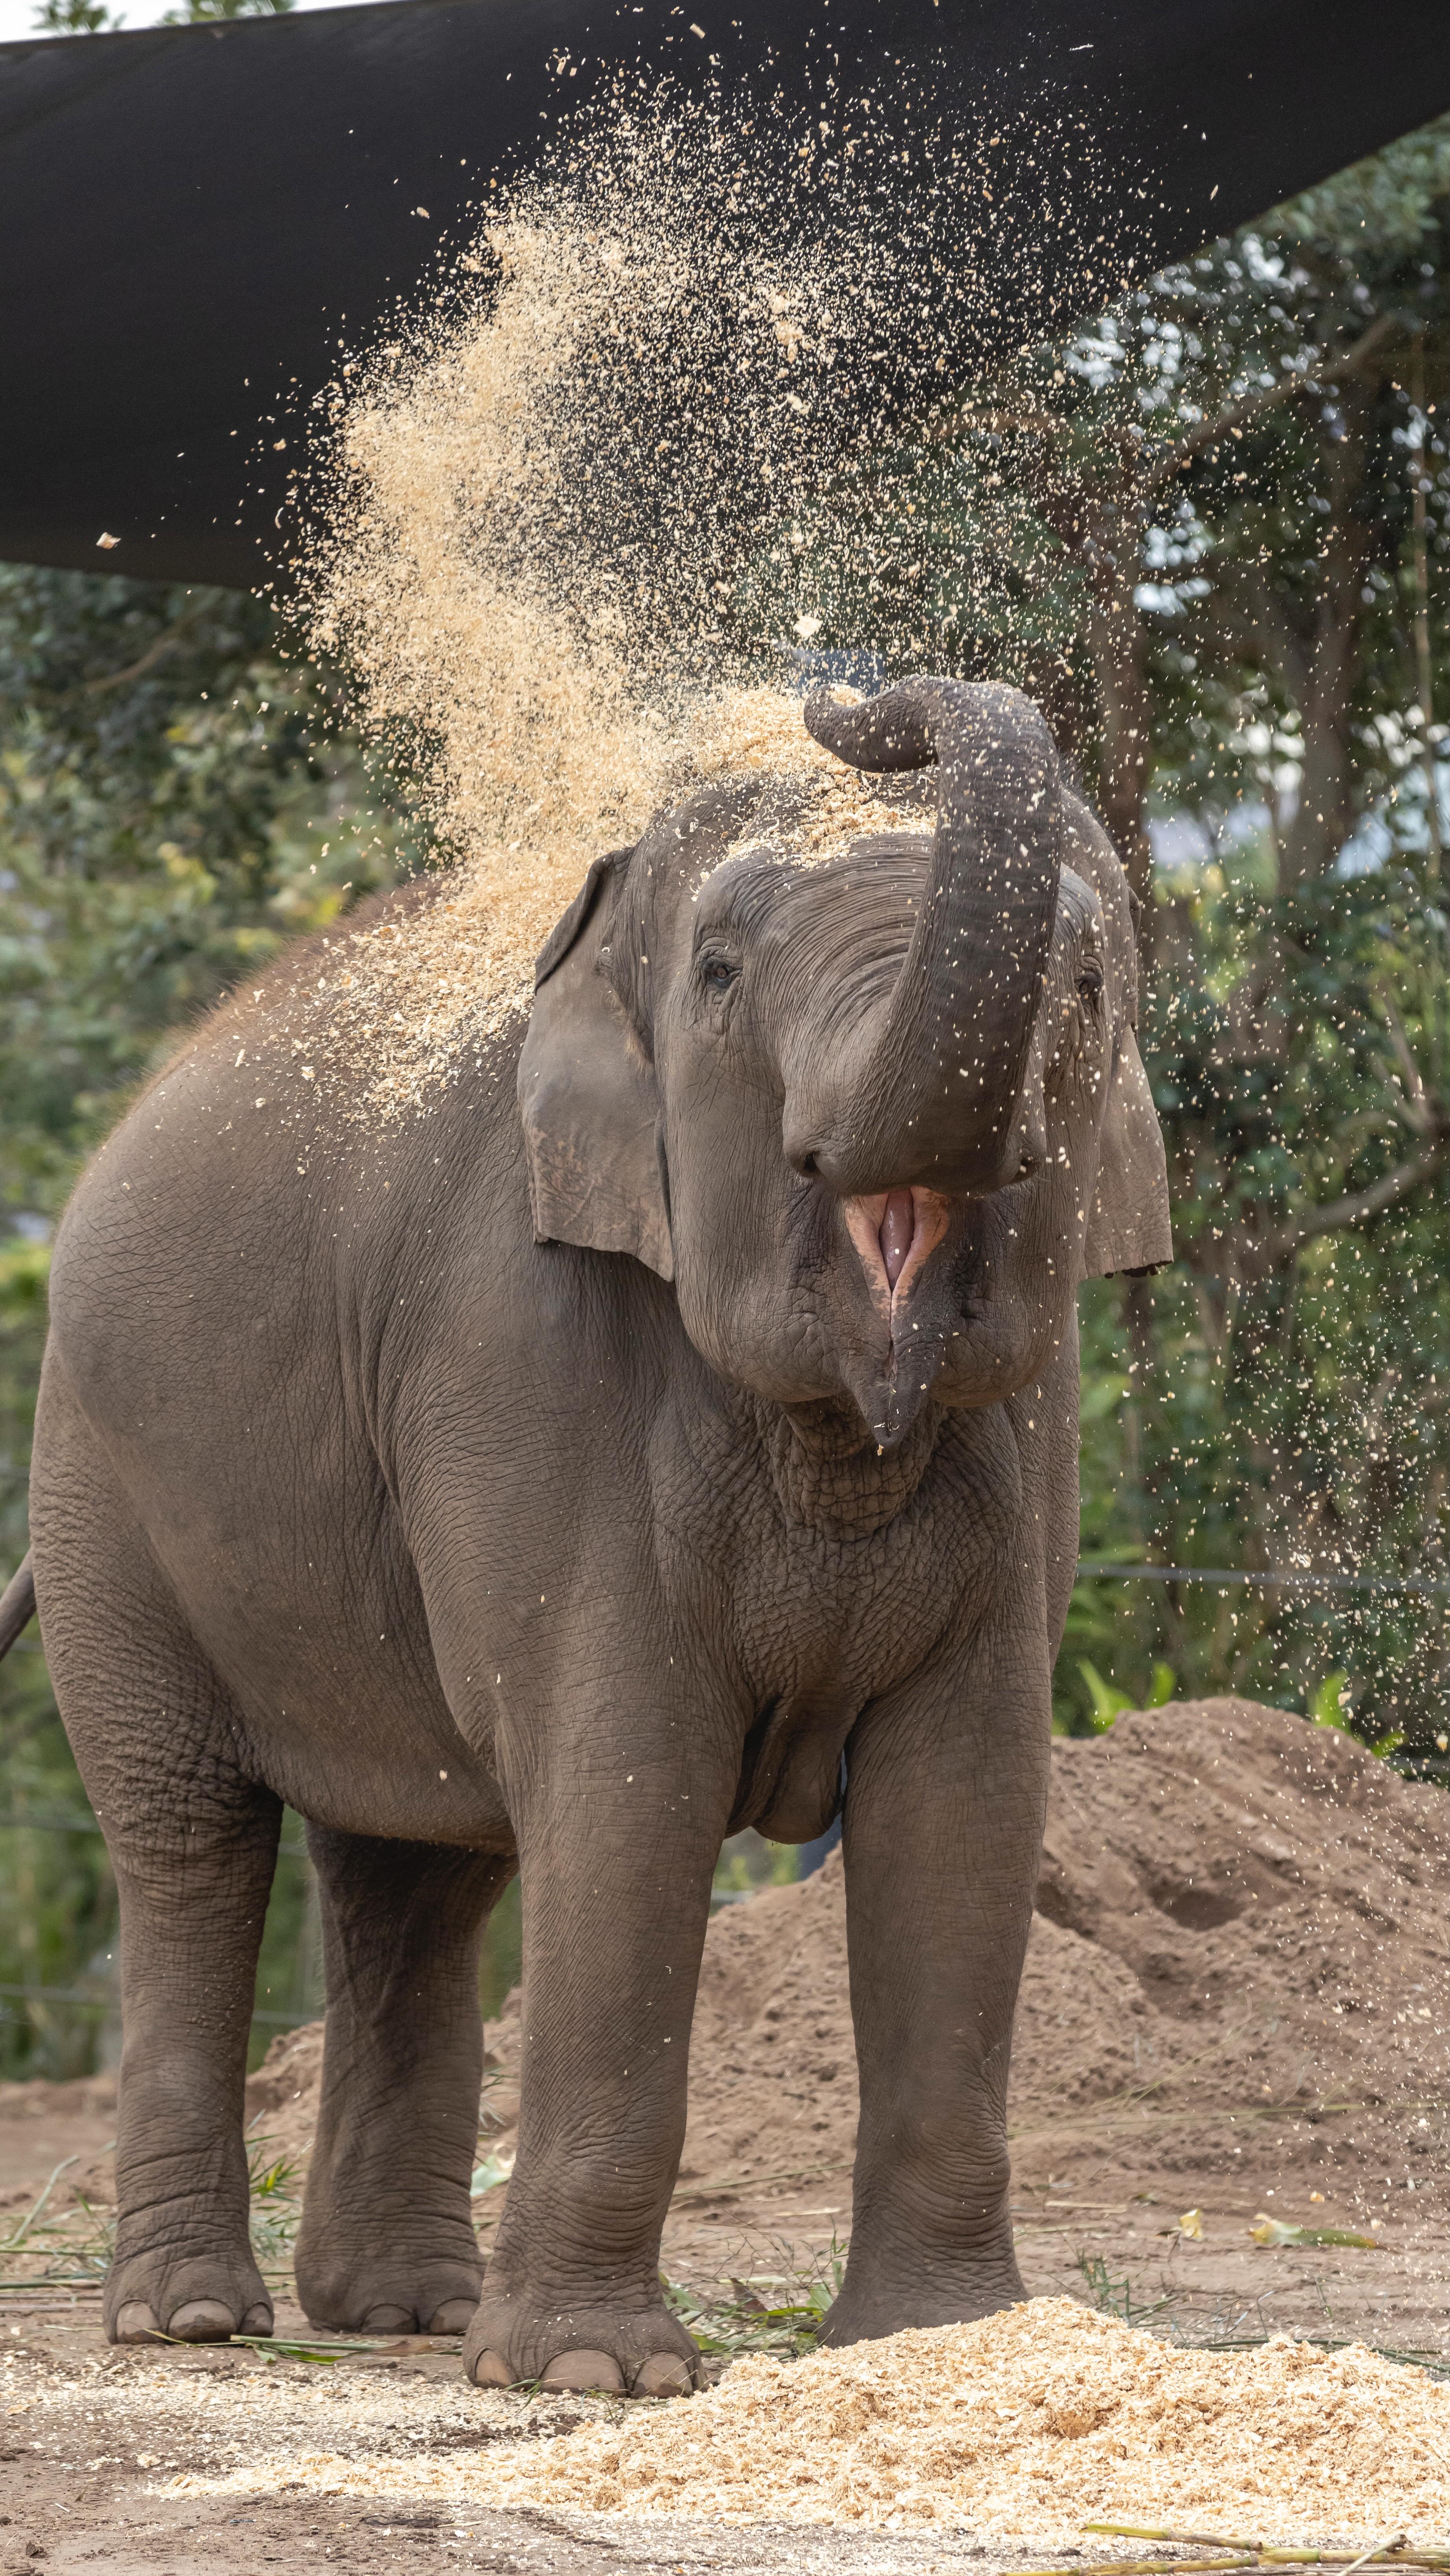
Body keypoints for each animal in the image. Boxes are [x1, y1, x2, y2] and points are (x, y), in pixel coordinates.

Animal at [8, 675, 1169, 2393]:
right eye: (718, 971)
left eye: (1087, 985)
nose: (857, 698)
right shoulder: (514, 1338)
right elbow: (628, 1780)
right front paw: (594, 2375)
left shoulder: (1035, 1423)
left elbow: (966, 1803)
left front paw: (949, 2345)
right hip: (98, 1484)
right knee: (189, 1838)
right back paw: (190, 2316)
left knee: (418, 1873)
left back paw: (403, 2311)